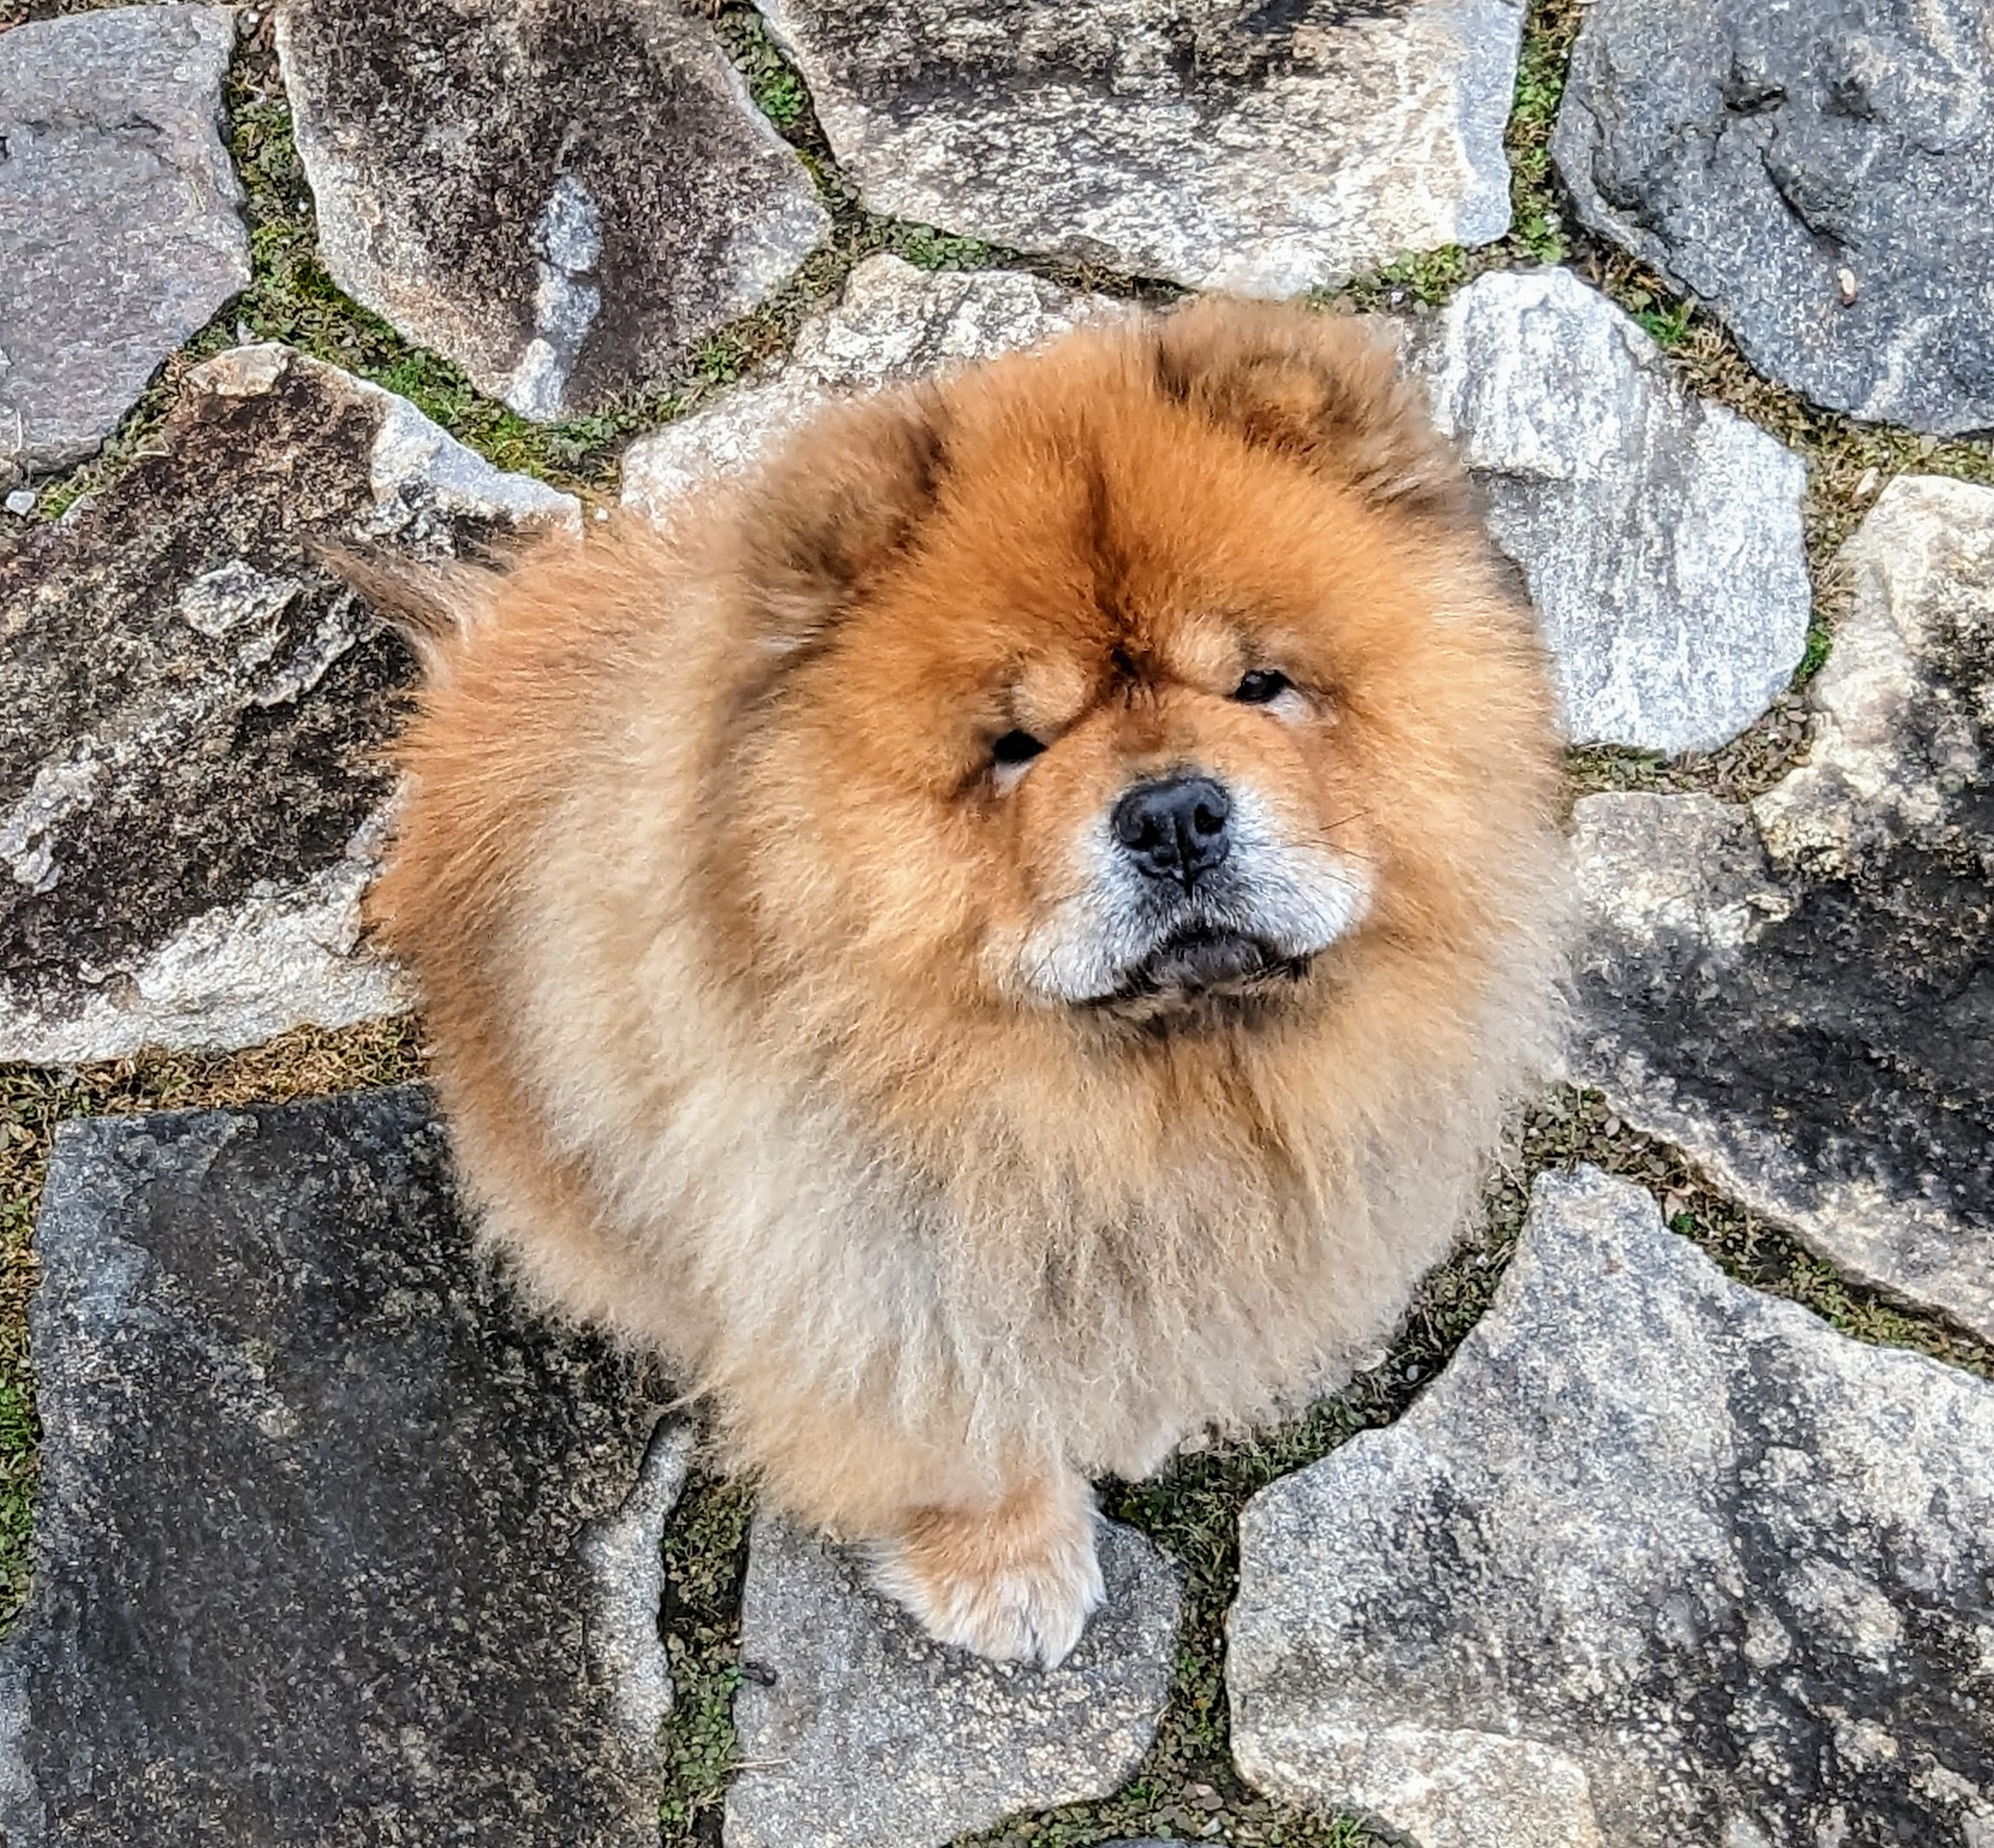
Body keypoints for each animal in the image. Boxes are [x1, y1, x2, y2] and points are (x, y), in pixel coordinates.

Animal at [366, 297, 1562, 1666]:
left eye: (1260, 685)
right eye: (1014, 747)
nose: (1174, 814)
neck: (1146, 1114)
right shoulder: (875, 1281)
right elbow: (956, 1428)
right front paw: (1009, 1573)